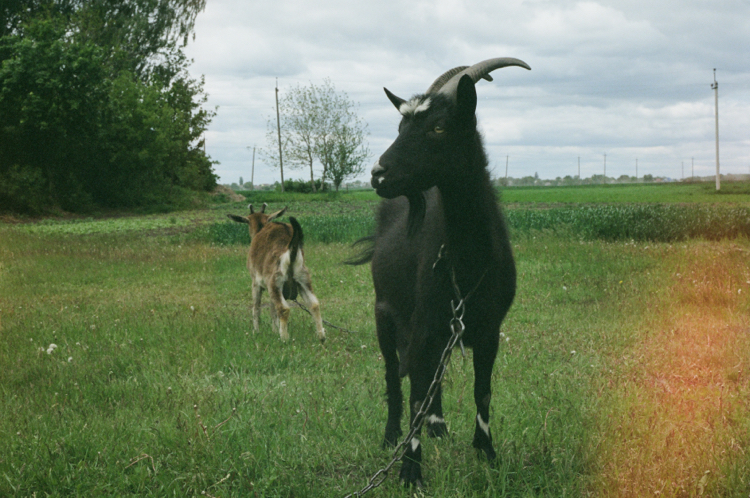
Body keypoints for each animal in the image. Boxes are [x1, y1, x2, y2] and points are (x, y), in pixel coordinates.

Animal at [228, 202, 324, 342]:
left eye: (247, 222)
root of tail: (291, 249)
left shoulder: (256, 282)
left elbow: (257, 307)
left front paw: (256, 331)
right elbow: (272, 309)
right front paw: (274, 329)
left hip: (276, 280)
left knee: (283, 309)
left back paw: (284, 339)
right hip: (303, 278)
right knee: (314, 304)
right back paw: (321, 336)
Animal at [356, 57, 532, 486]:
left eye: (438, 127)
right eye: (400, 127)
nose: (378, 173)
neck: (466, 259)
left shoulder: (488, 327)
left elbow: (482, 390)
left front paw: (486, 452)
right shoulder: (423, 321)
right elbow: (415, 390)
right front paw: (410, 472)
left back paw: (437, 424)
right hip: (385, 312)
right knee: (394, 376)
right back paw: (392, 435)